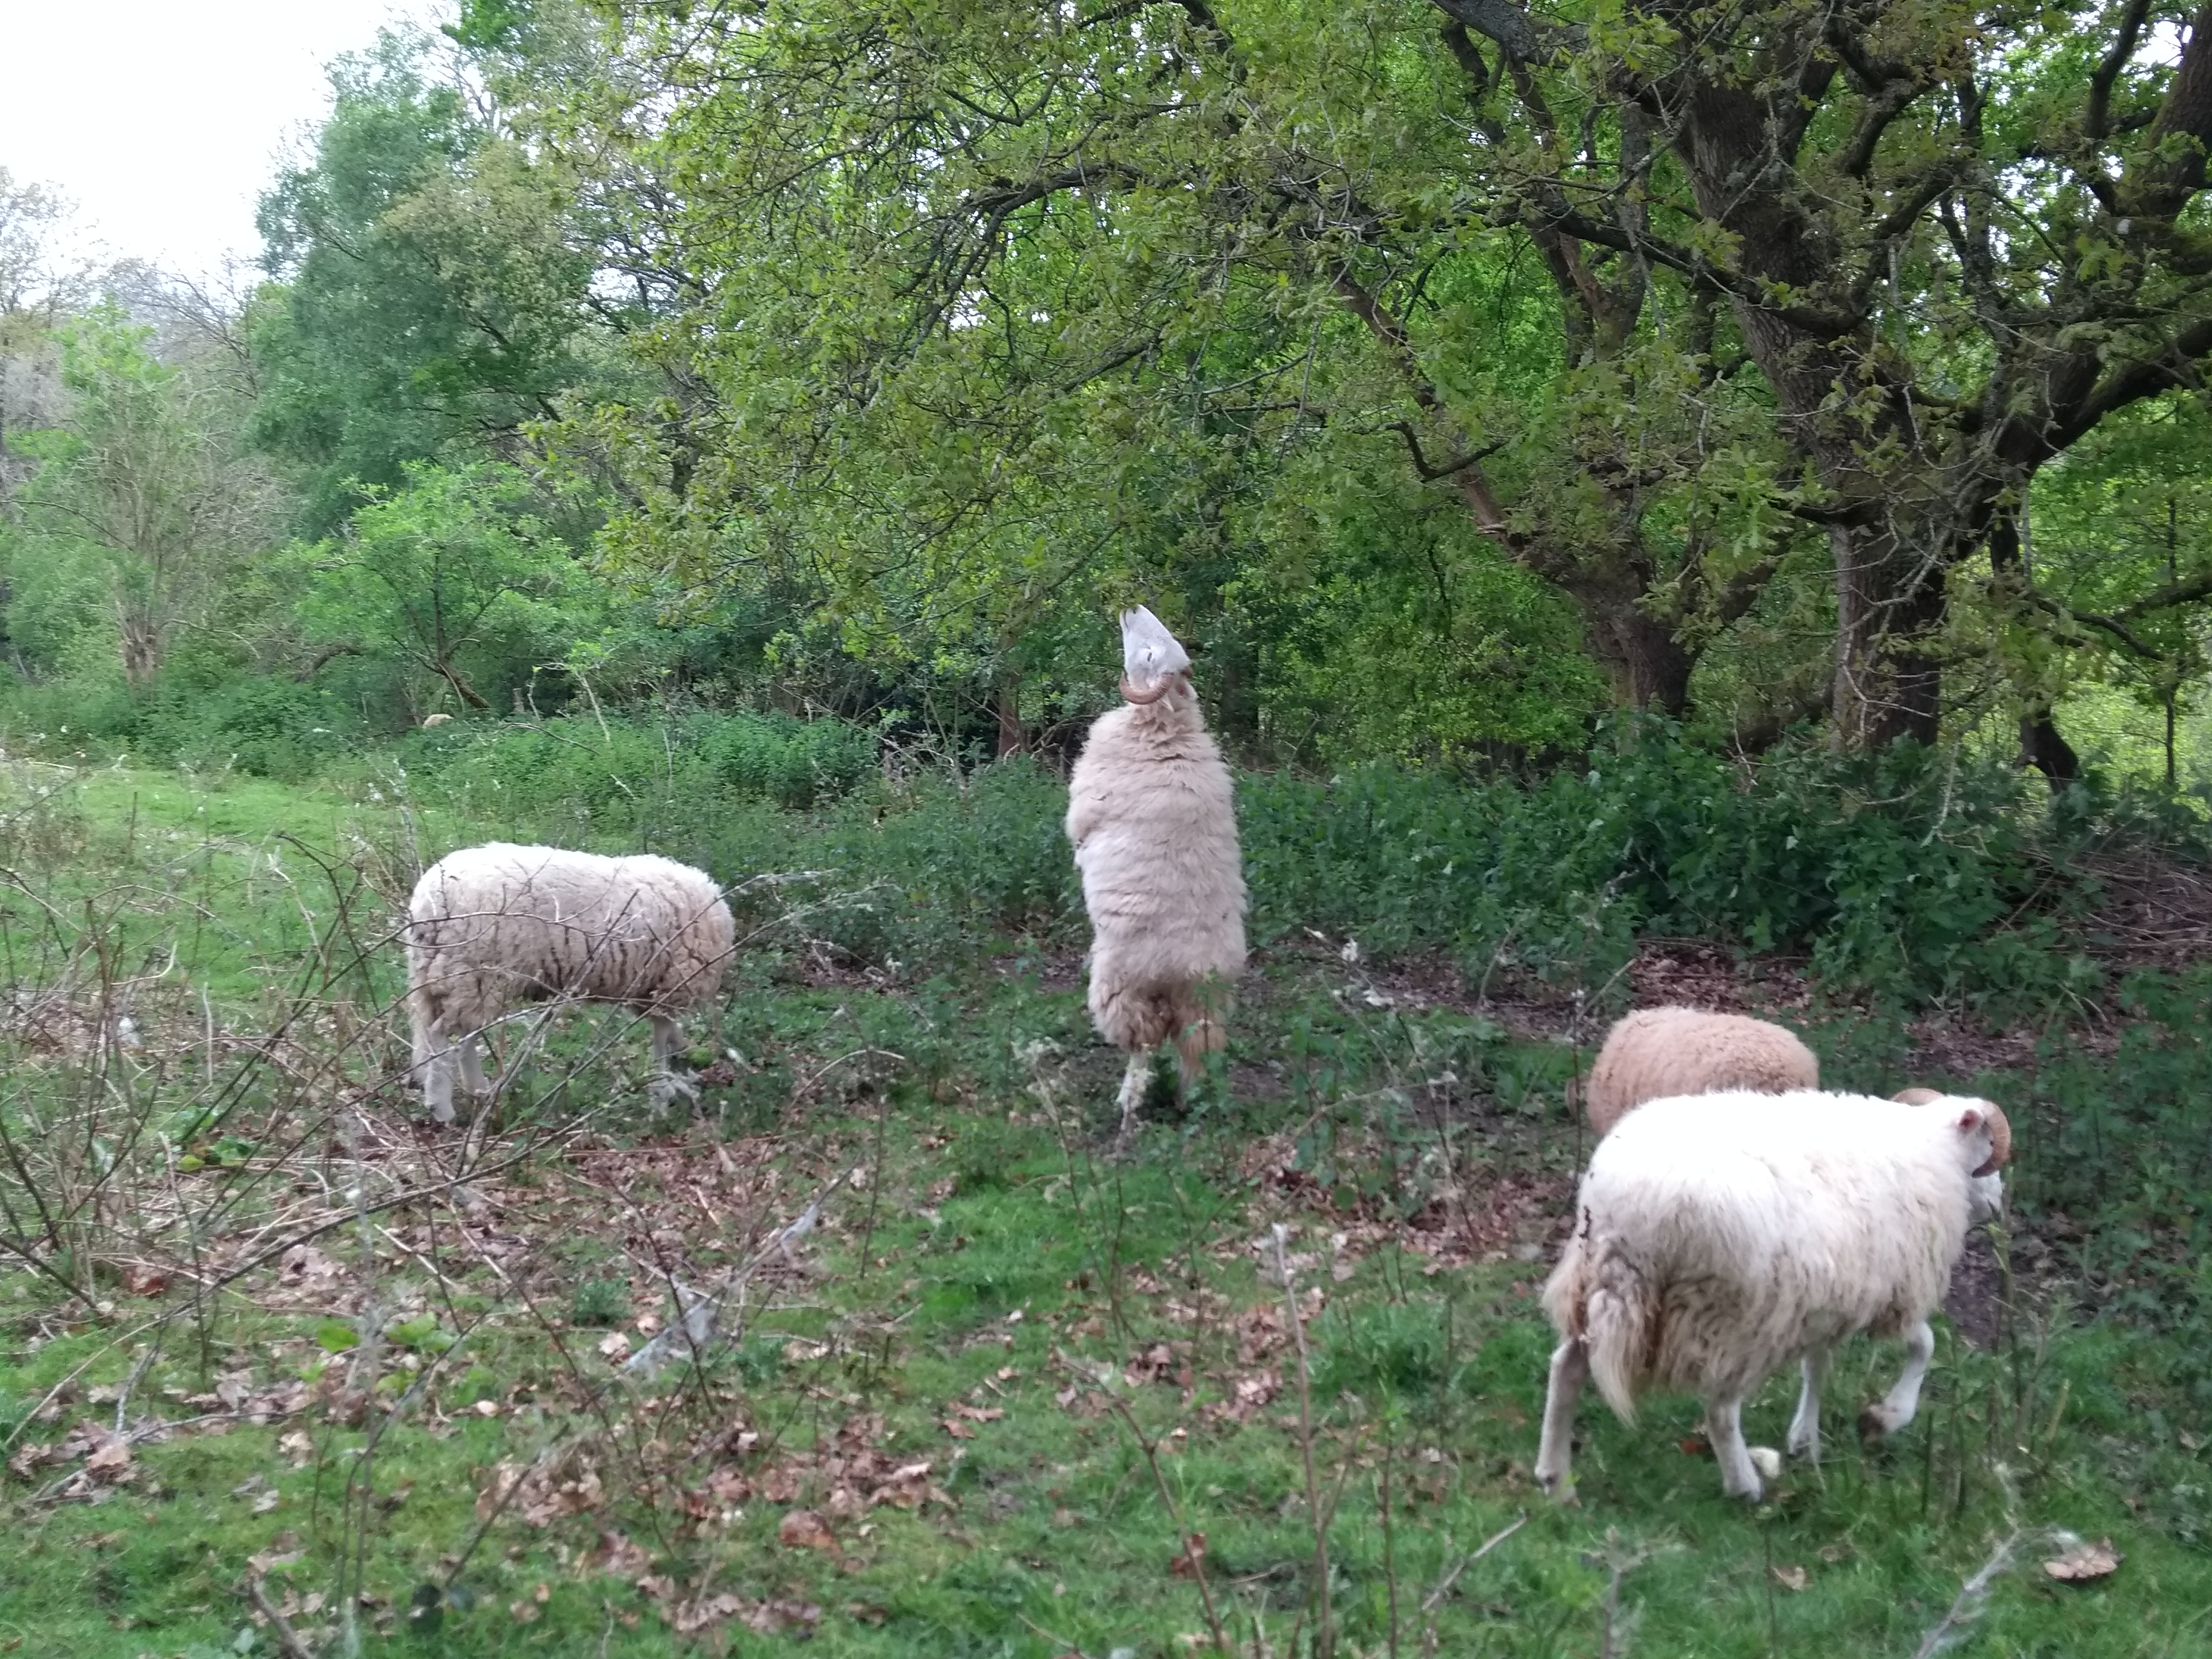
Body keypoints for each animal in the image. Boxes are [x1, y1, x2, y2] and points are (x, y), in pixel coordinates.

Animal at [403, 845, 739, 1132]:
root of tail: (425, 903)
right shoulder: (669, 986)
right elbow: (661, 1039)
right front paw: (661, 1094)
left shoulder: (652, 992)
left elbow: (669, 1036)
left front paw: (677, 1071)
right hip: (474, 971)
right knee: (444, 1038)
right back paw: (443, 1108)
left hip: (454, 975)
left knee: (459, 1036)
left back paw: (478, 1091)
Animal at [1066, 606, 1247, 1150]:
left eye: (1149, 655)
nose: (1131, 608)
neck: (1166, 728)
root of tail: (1186, 969)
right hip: (1206, 1003)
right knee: (1196, 1049)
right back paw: (1191, 1105)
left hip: (1122, 989)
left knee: (1143, 1047)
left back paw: (1129, 1109)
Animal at [1530, 1093, 2017, 1504]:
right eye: (1990, 1145)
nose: (2000, 1203)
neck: (1935, 1150)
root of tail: (1629, 1209)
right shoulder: (1894, 1293)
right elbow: (1925, 1345)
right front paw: (1887, 1417)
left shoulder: (1827, 1298)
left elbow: (1817, 1367)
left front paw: (1805, 1439)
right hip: (1730, 1313)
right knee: (1720, 1409)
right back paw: (1744, 1485)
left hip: (1600, 1288)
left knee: (1565, 1368)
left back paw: (1556, 1480)